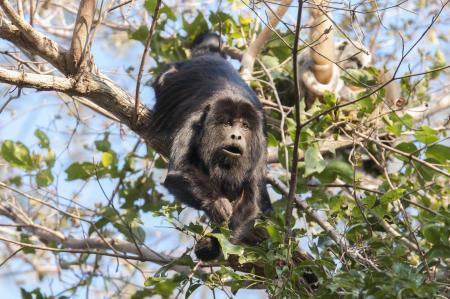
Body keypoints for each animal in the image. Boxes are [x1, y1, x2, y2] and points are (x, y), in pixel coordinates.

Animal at [150, 32, 270, 262]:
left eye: (245, 126)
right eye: (227, 123)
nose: (236, 135)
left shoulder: (260, 147)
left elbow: (250, 203)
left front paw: (213, 245)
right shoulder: (193, 124)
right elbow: (179, 171)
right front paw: (216, 203)